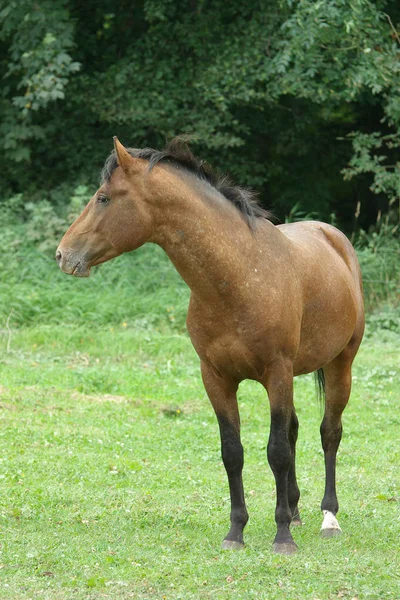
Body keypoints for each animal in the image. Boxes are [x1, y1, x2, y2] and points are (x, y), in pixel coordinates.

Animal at [56, 138, 366, 556]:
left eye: (103, 198)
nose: (63, 254)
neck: (238, 277)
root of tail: (333, 237)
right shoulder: (216, 377)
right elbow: (233, 452)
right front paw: (236, 531)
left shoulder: (277, 373)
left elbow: (276, 452)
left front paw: (282, 536)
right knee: (295, 431)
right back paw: (296, 510)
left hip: (339, 365)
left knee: (328, 433)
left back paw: (328, 518)